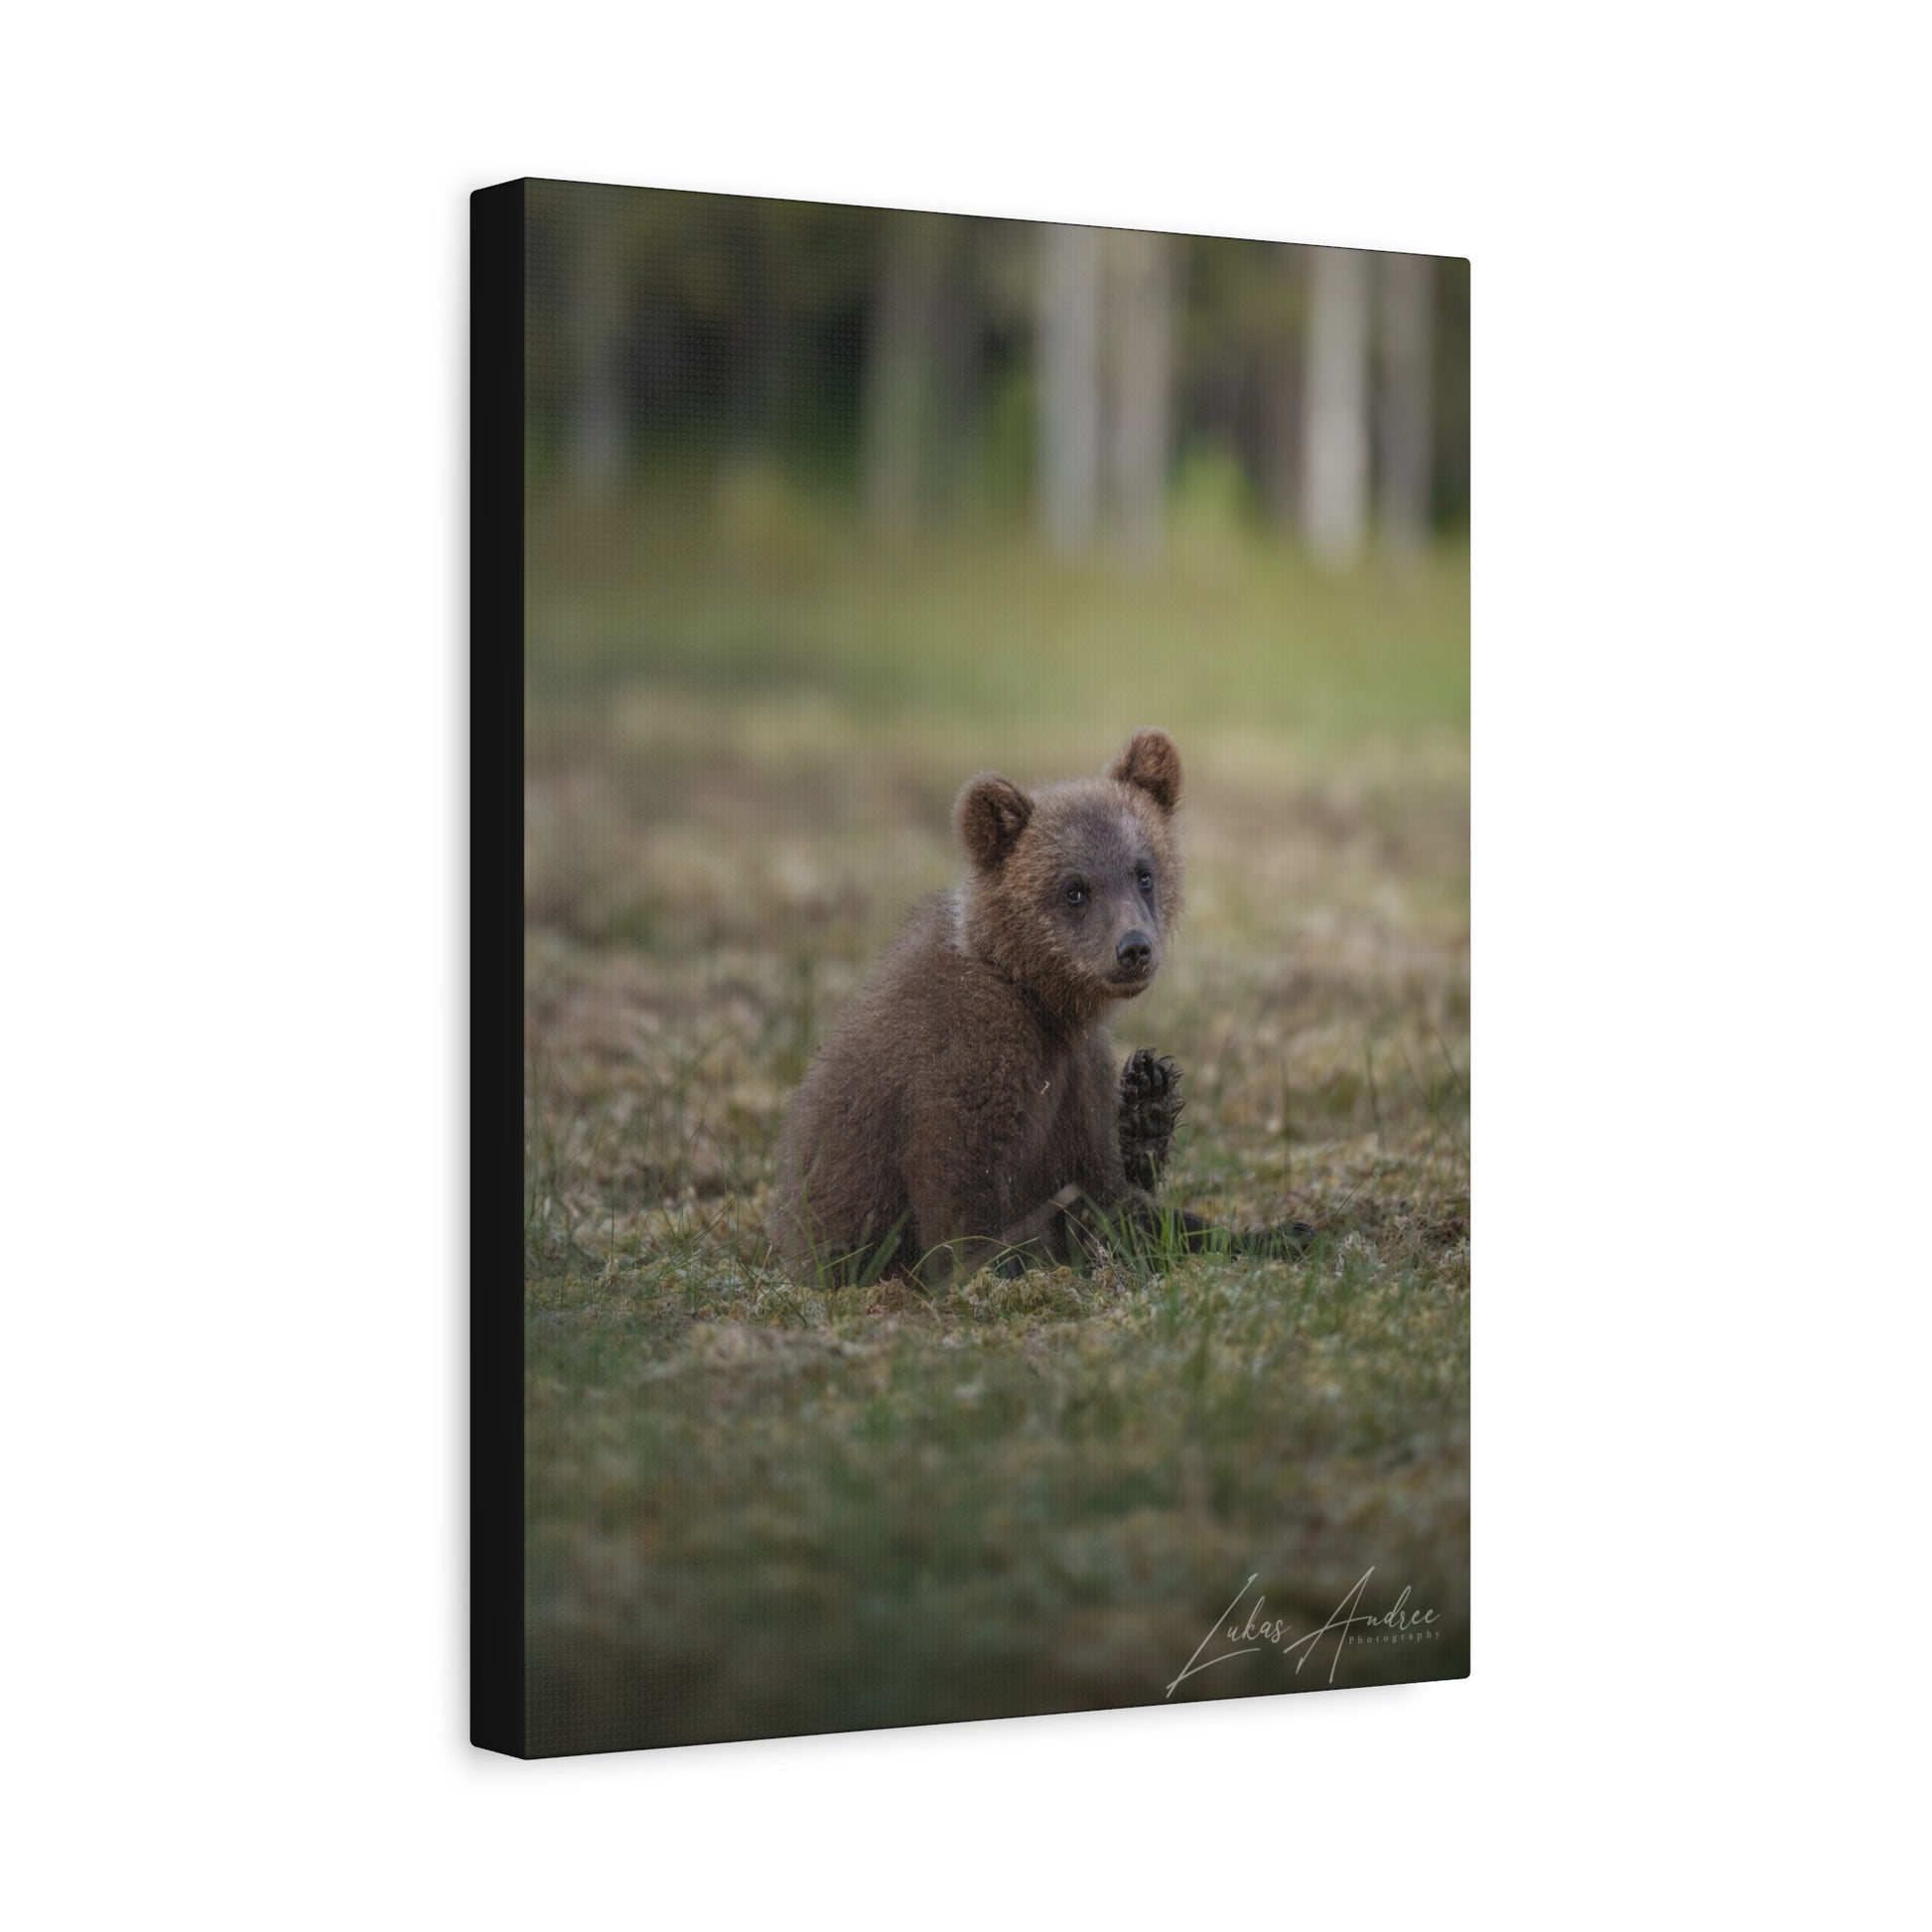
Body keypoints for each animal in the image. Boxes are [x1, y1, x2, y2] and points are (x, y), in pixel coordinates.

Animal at [772, 728, 1307, 1284]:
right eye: (1074, 889)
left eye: (1143, 873)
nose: (1134, 948)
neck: (1042, 998)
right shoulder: (974, 1048)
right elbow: (962, 1177)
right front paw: (993, 1274)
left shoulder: (1078, 1077)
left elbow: (1106, 1197)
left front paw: (1277, 1229)